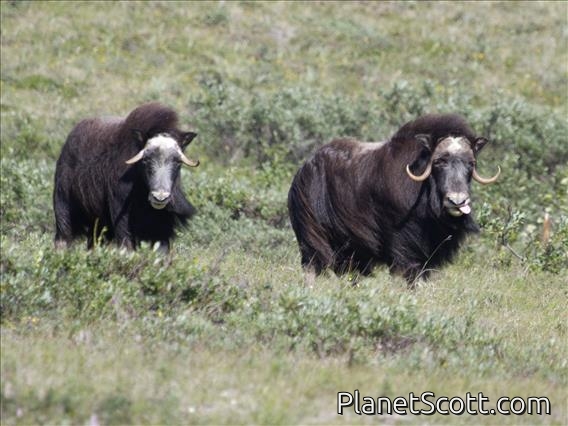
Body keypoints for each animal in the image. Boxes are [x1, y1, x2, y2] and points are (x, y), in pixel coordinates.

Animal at [53, 102, 200, 252]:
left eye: (177, 162)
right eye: (146, 160)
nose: (160, 197)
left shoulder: (162, 227)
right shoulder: (120, 211)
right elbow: (126, 243)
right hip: (63, 201)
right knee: (64, 232)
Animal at [287, 114, 500, 286]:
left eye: (471, 163)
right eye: (439, 162)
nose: (457, 201)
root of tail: (302, 169)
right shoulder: (402, 245)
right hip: (312, 237)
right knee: (312, 265)